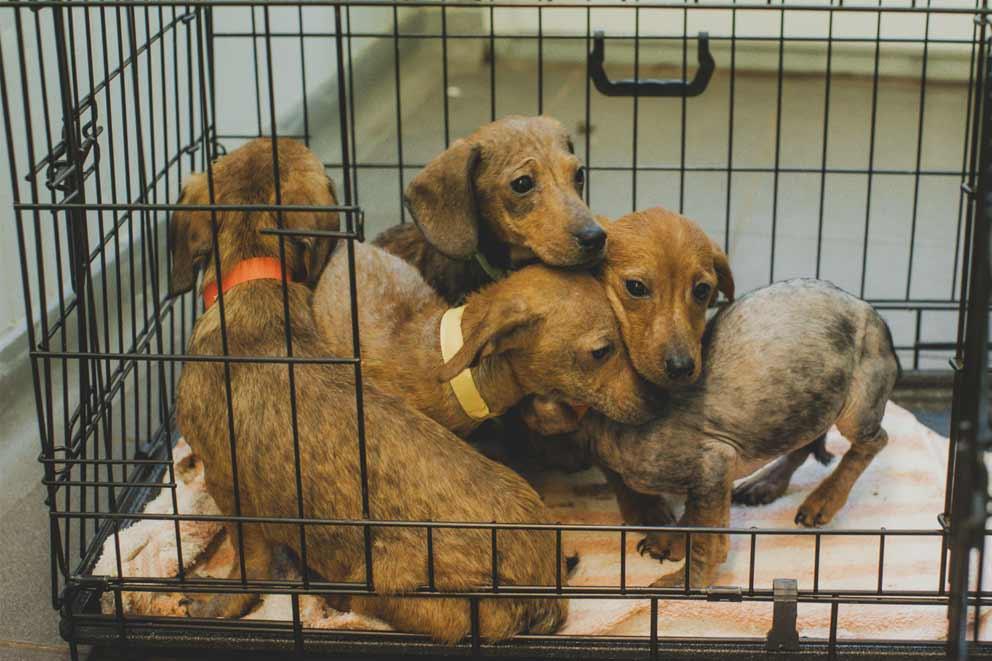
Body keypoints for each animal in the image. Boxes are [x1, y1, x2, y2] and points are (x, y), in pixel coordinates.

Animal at [170, 138, 564, 640]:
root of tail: (539, 595)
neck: (257, 280)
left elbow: (248, 565)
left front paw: (220, 602)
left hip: (390, 581)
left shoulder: (227, 483)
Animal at [580, 278, 900, 588]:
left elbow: (707, 540)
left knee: (874, 441)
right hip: (807, 402)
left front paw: (685, 582)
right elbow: (698, 516)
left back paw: (823, 500)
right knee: (804, 441)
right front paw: (673, 540)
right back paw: (764, 484)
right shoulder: (711, 476)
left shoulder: (713, 462)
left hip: (857, 401)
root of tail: (873, 312)